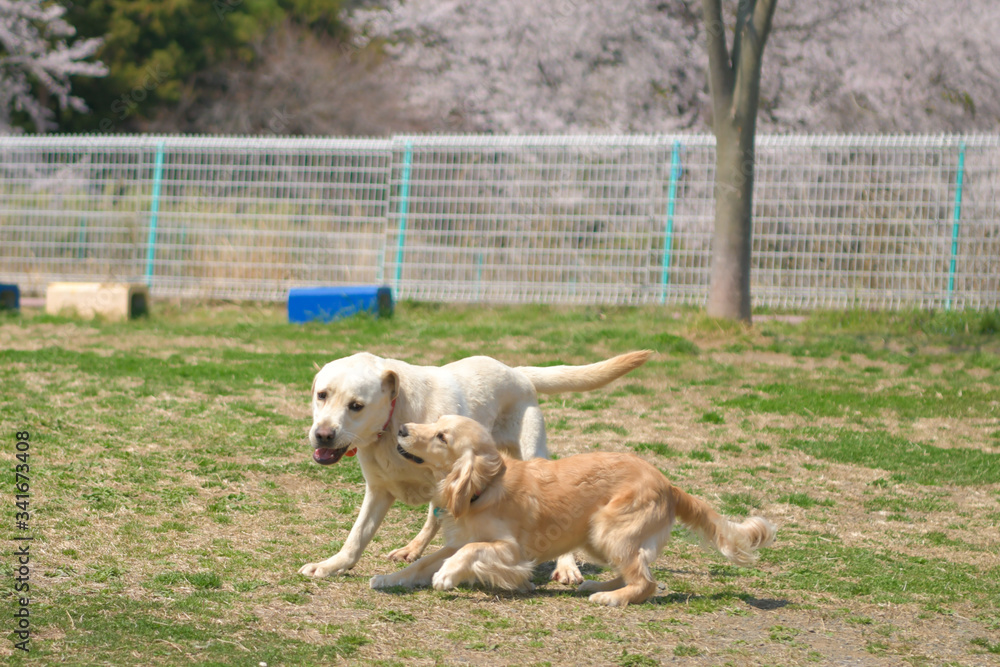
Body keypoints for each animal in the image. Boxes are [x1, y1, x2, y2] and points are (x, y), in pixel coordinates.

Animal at [300, 350, 652, 584]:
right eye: (322, 395)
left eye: (356, 406)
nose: (323, 434)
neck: (393, 420)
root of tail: (518, 372)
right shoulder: (378, 491)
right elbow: (356, 537)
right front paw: (330, 565)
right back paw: (412, 548)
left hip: (532, 452)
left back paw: (566, 566)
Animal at [372, 414, 776, 608]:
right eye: (435, 422)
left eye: (442, 437)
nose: (403, 428)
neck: (481, 488)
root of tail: (669, 484)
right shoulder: (456, 540)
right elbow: (421, 562)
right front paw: (389, 579)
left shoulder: (512, 550)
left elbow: (470, 553)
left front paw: (447, 576)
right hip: (599, 537)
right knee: (639, 573)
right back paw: (599, 585)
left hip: (607, 529)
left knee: (647, 582)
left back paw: (610, 598)